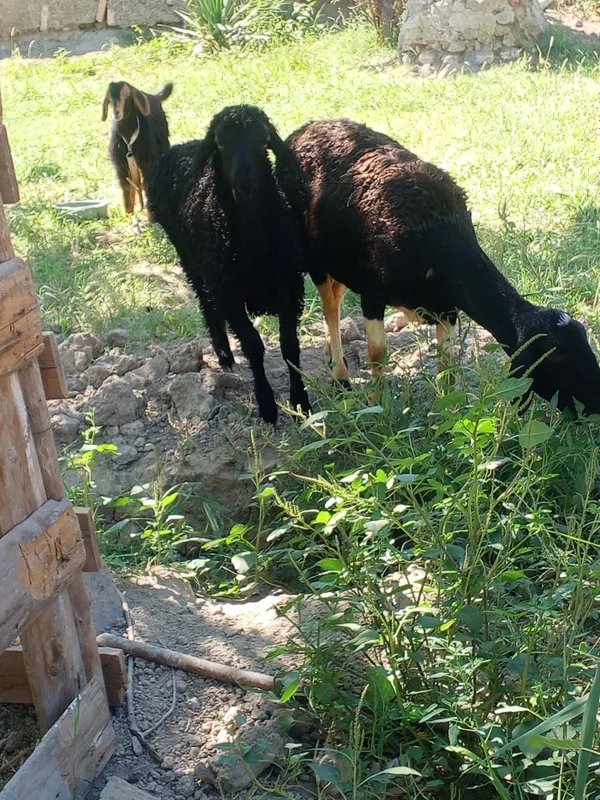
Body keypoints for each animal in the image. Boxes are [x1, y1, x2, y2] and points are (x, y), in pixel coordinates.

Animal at [102, 80, 173, 217]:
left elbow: (146, 185)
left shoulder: (148, 162)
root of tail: (153, 96)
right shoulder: (120, 163)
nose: (116, 112)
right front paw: (128, 213)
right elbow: (126, 186)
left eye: (127, 95)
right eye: (110, 98)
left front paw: (151, 215)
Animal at [147, 105, 311, 425]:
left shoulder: (290, 287)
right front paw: (267, 406)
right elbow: (253, 346)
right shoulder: (228, 294)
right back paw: (223, 352)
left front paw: (300, 402)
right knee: (205, 303)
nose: (244, 186)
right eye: (221, 144)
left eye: (263, 142)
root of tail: (183, 146)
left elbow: (289, 346)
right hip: (192, 260)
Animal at [275, 118, 600, 415]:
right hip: (310, 252)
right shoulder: (373, 293)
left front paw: (451, 414)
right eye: (557, 358)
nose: (595, 405)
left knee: (336, 293)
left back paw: (333, 355)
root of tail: (305, 128)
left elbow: (447, 362)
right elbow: (378, 353)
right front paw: (378, 408)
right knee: (330, 305)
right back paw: (341, 377)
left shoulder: (447, 307)